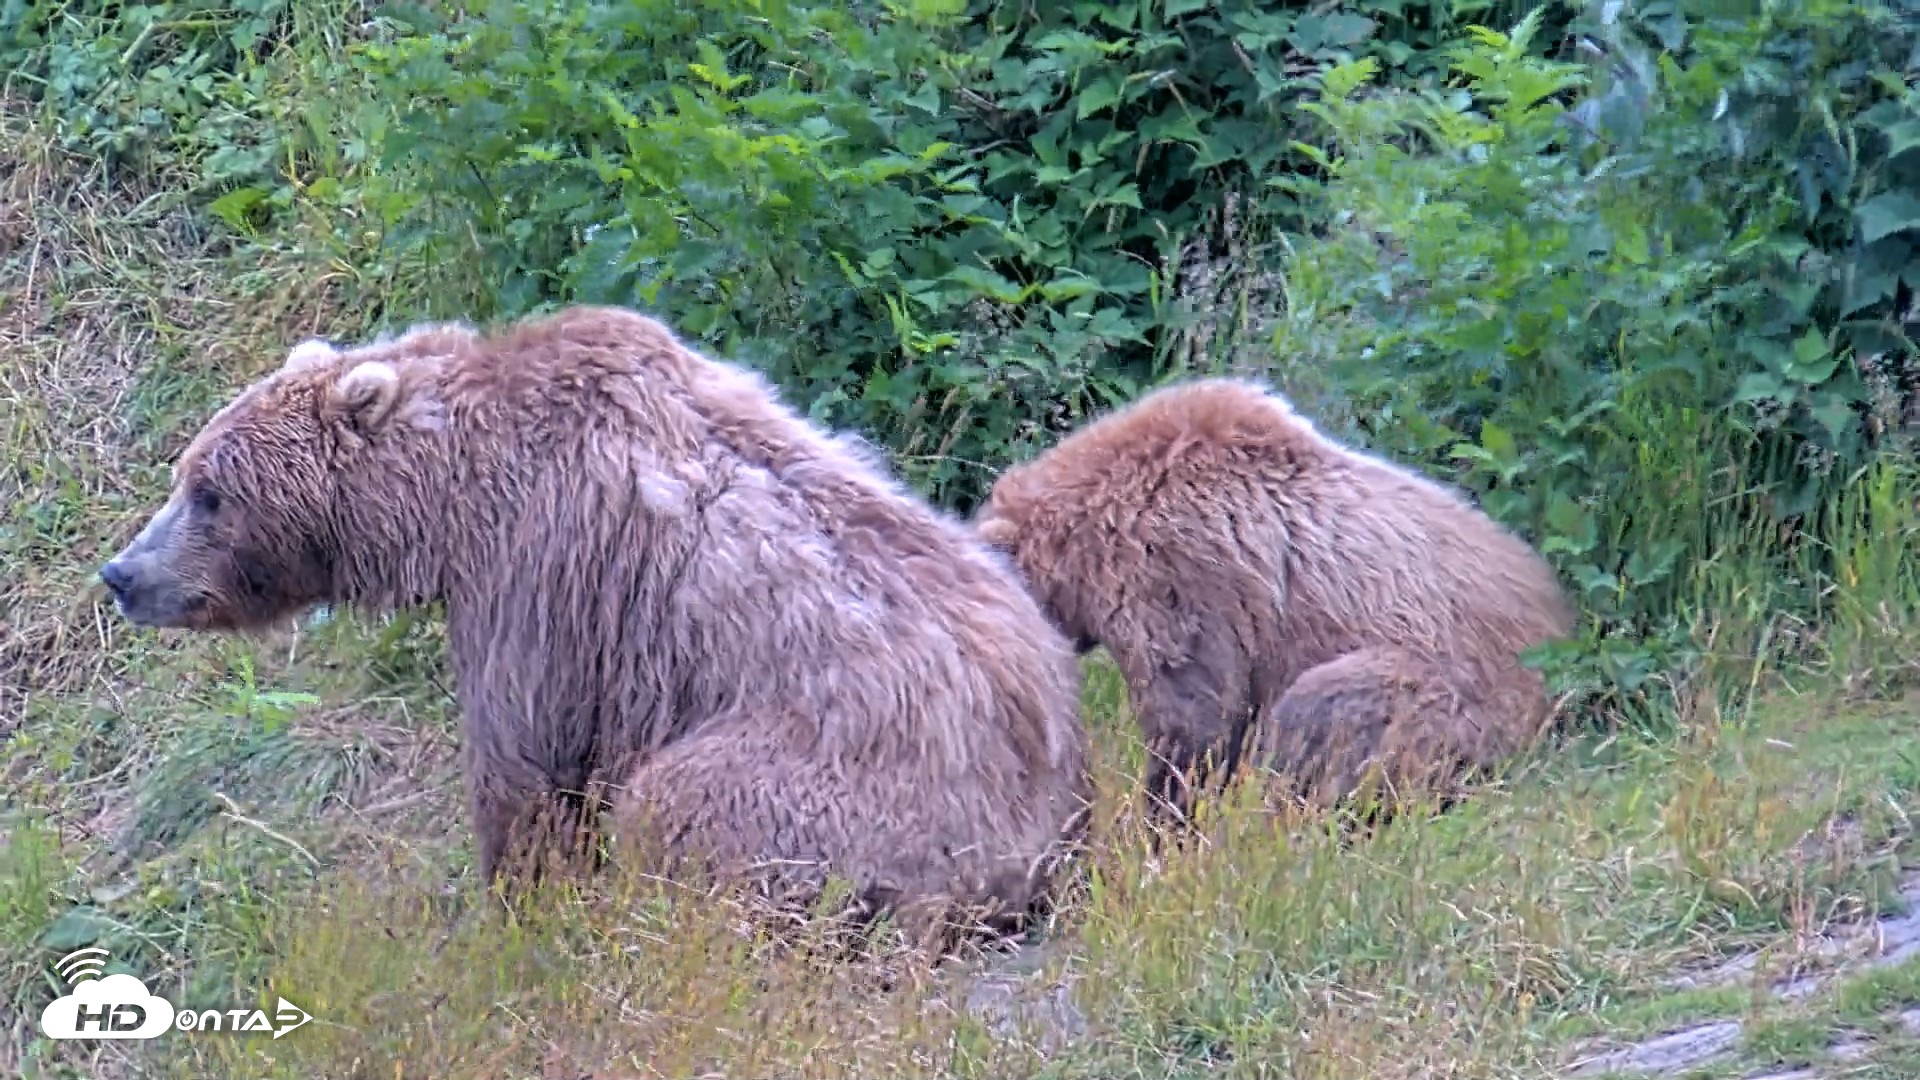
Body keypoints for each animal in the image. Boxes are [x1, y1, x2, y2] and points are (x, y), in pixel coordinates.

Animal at [99, 305, 1094, 944]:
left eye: (210, 492)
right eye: (187, 472)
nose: (121, 574)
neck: (445, 496)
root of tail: (1034, 852)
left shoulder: (543, 579)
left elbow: (524, 764)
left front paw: (518, 913)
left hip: (851, 792)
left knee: (682, 804)